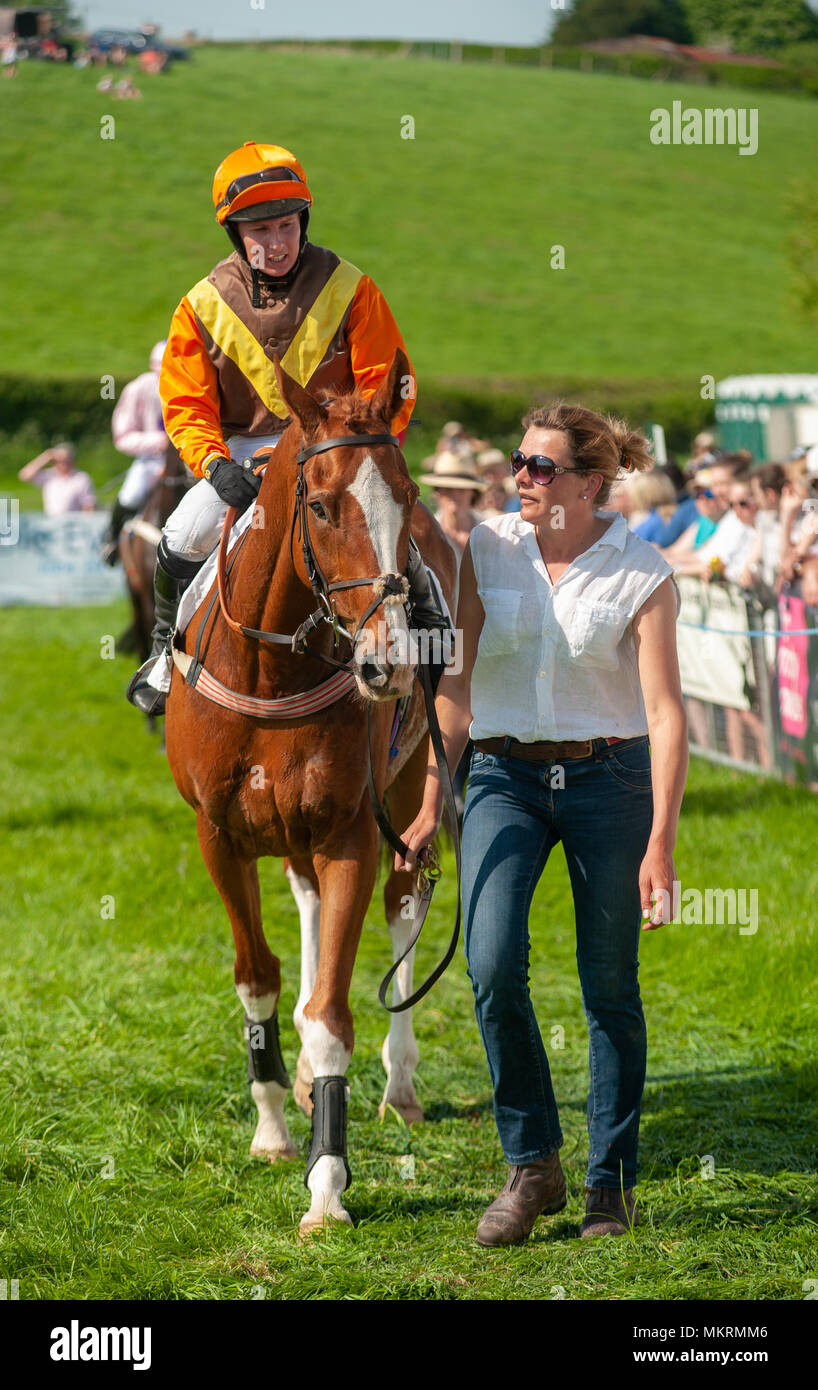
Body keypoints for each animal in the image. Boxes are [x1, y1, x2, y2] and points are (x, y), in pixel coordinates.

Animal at [164, 350, 459, 1239]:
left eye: (408, 497)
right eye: (323, 506)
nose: (388, 662)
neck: (271, 669)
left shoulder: (350, 834)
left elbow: (333, 1016)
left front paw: (328, 1187)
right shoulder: (219, 836)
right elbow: (256, 976)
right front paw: (271, 1127)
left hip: (410, 792)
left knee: (403, 906)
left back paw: (400, 1086)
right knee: (303, 907)